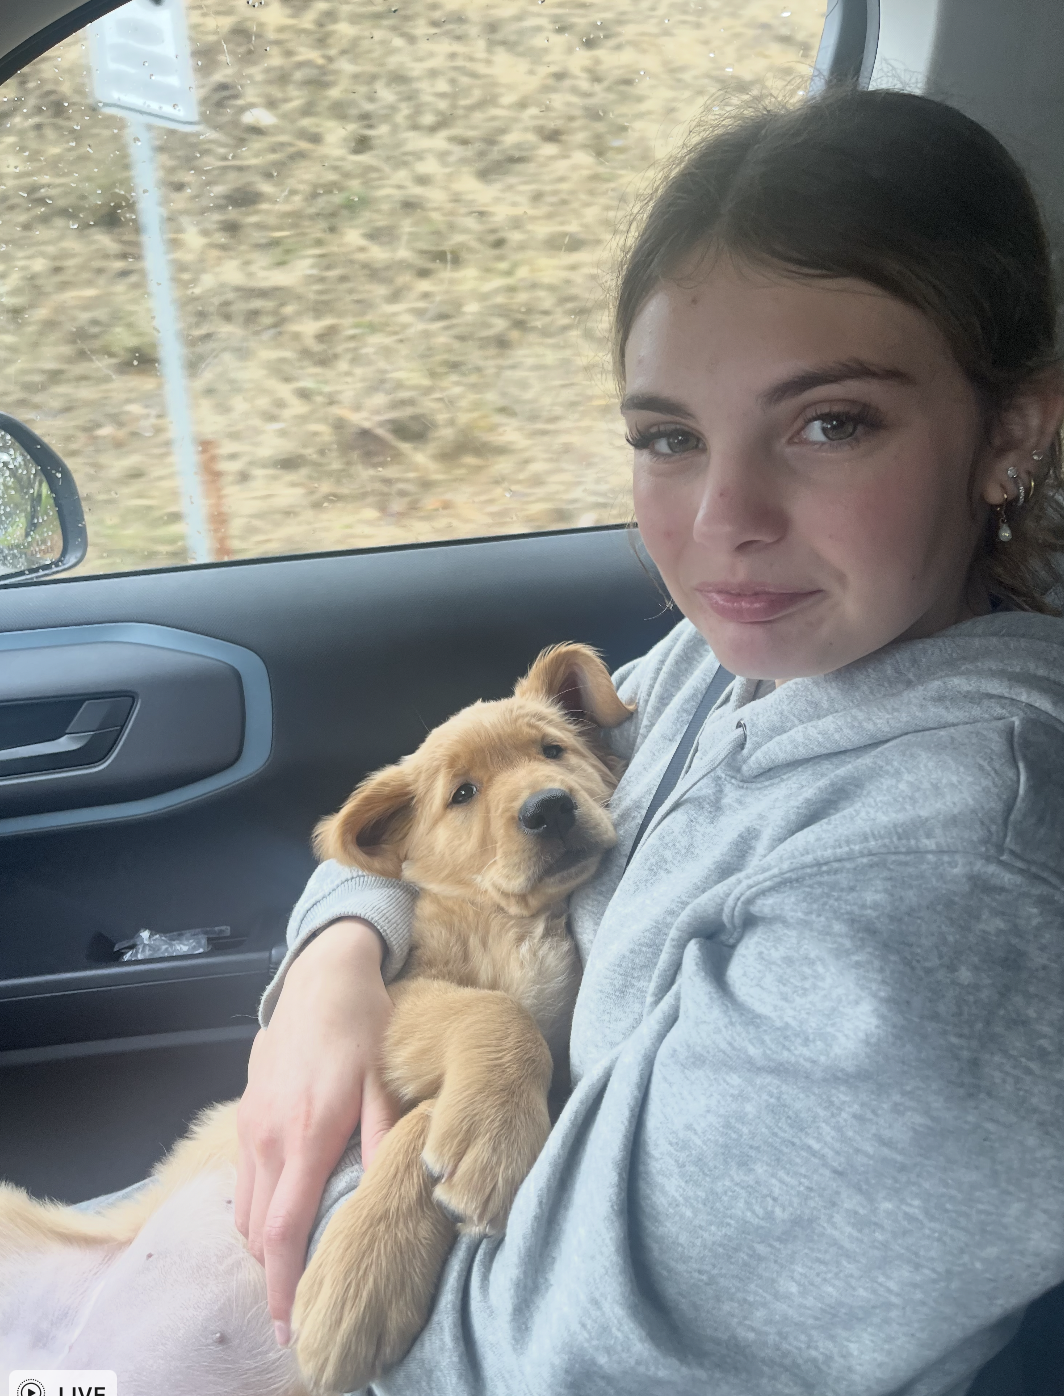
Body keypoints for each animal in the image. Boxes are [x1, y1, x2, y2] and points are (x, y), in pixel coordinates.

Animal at [0, 643, 633, 1396]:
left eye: (553, 750)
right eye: (463, 794)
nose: (549, 808)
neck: (504, 917)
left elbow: (439, 1103)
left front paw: (372, 1253)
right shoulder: (393, 997)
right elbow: (493, 1010)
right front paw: (379, 1255)